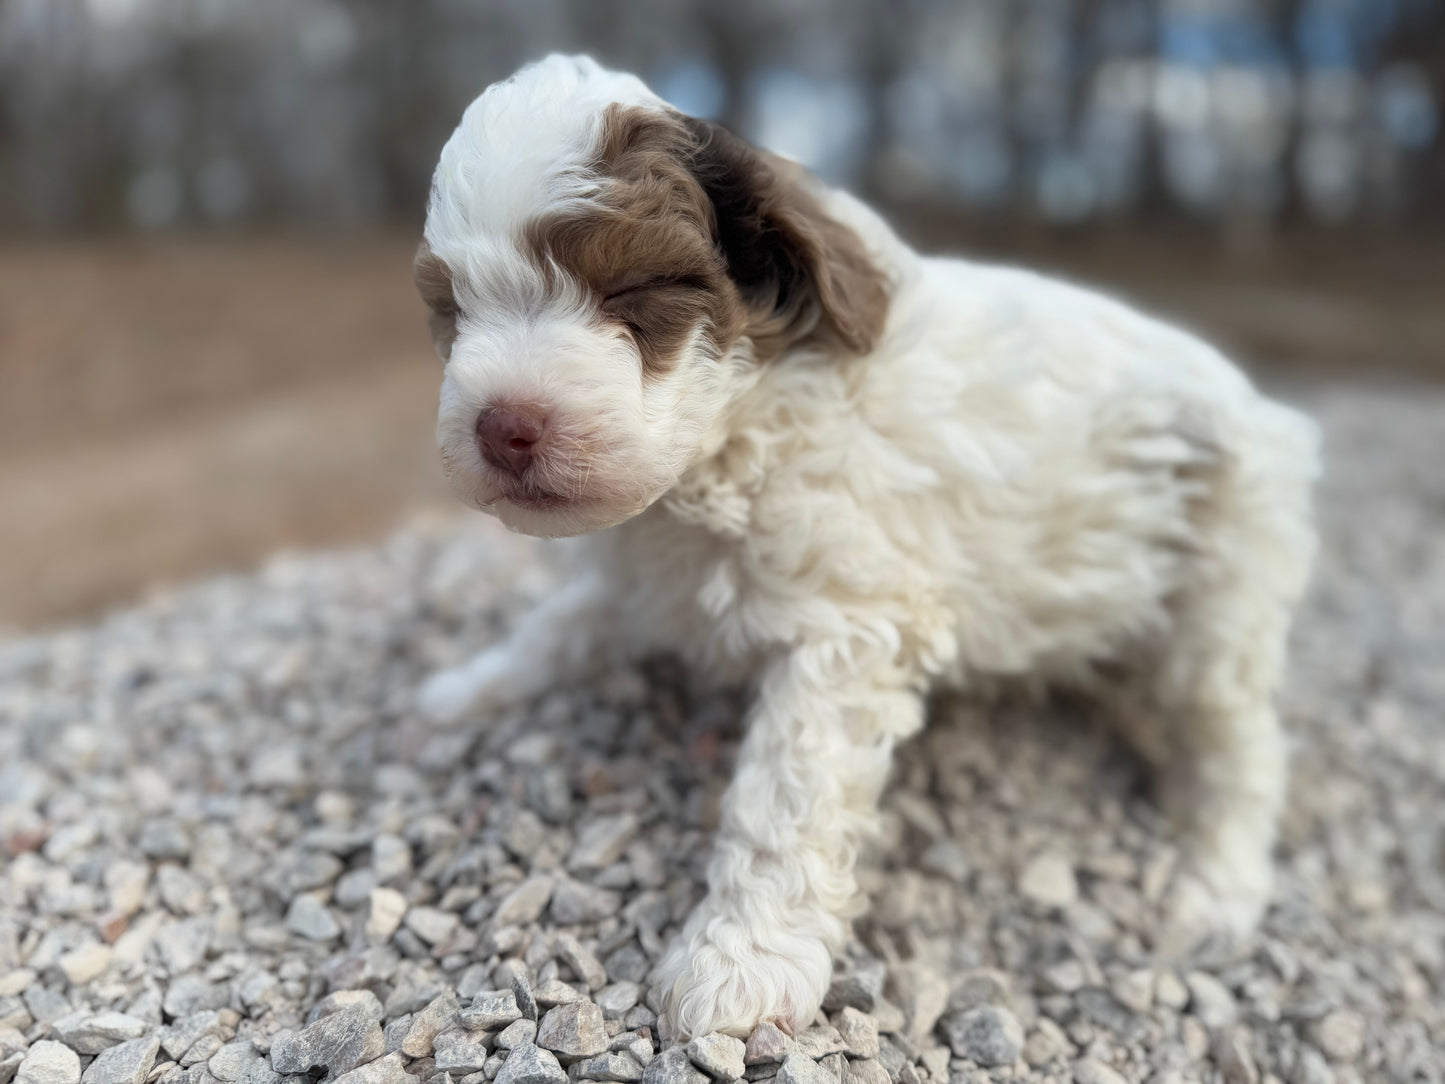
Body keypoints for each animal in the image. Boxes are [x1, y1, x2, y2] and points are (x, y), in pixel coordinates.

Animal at [410, 55, 1323, 1040]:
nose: (502, 427)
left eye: (630, 291)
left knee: (1235, 746)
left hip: (1220, 593)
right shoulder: (642, 577)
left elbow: (784, 794)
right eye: (451, 309)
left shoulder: (845, 626)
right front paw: (466, 692)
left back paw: (1215, 886)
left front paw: (740, 961)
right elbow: (560, 628)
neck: (732, 435)